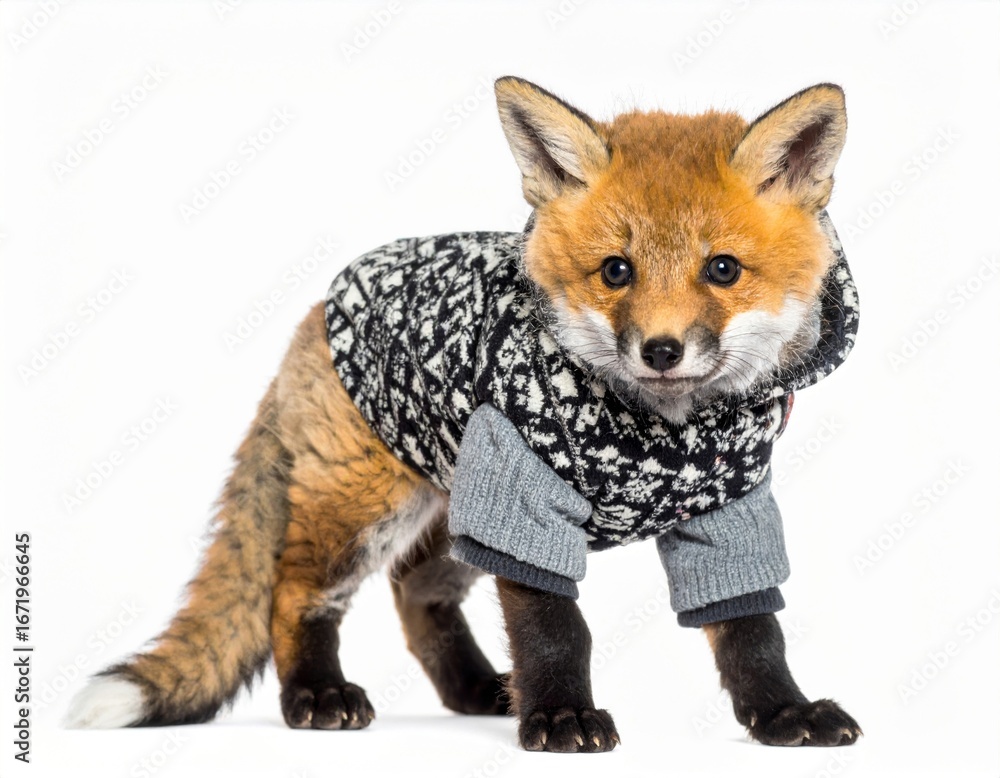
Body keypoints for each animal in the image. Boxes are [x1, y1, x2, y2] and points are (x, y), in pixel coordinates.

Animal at [66, 77, 863, 752]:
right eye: (617, 271)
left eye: (722, 269)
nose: (661, 350)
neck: (660, 430)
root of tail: (314, 313)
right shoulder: (522, 495)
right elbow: (554, 629)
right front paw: (562, 716)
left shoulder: (729, 509)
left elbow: (753, 631)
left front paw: (783, 712)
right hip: (363, 507)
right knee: (293, 593)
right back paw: (316, 695)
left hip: (453, 513)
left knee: (415, 597)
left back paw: (479, 689)